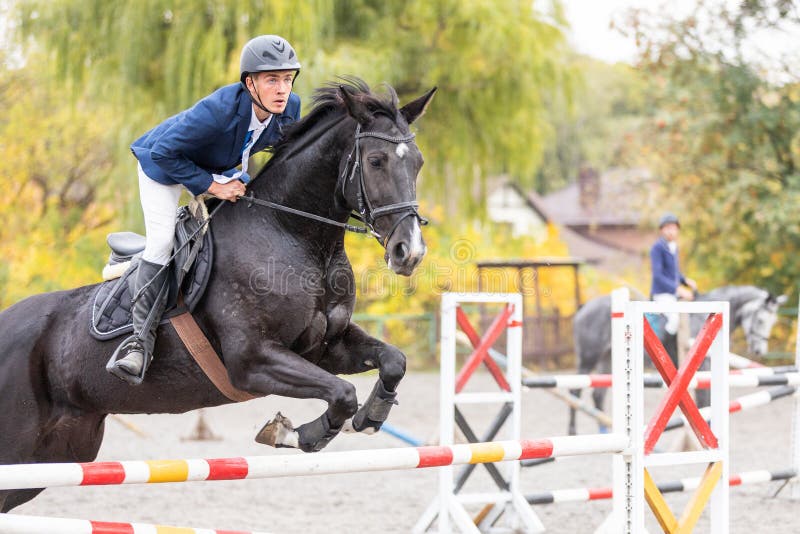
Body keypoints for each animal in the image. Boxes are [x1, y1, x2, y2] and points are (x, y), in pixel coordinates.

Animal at [0, 77, 438, 512]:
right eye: (376, 161)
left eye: (417, 162)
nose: (410, 252)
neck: (293, 234)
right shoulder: (253, 360)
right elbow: (342, 394)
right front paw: (294, 433)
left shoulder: (325, 347)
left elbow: (393, 361)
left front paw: (370, 416)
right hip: (21, 447)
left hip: (59, 450)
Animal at [568, 286, 788, 438]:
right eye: (760, 320)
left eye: (772, 322)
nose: (759, 351)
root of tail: (584, 307)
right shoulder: (702, 367)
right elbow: (703, 399)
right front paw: (704, 429)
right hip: (588, 357)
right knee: (575, 391)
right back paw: (572, 431)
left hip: (607, 357)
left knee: (598, 394)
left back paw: (604, 430)